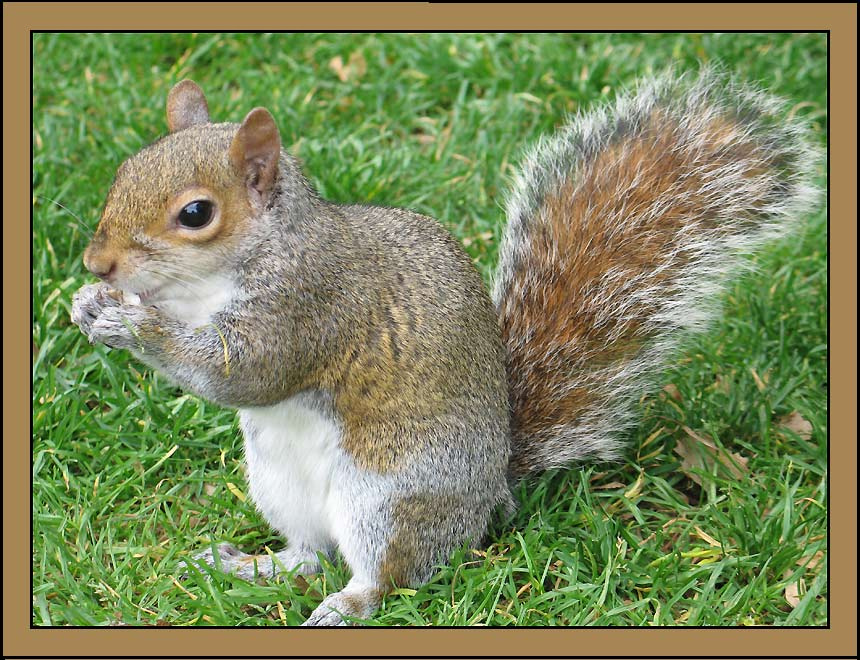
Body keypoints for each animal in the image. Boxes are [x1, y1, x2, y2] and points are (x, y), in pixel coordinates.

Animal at [70, 69, 820, 626]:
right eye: (124, 170)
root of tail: (493, 495)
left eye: (195, 213)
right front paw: (89, 307)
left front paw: (136, 326)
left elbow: (243, 375)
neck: (215, 280)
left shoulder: (309, 307)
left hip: (389, 498)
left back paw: (347, 604)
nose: (96, 263)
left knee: (392, 573)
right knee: (310, 555)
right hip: (279, 485)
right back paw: (251, 564)